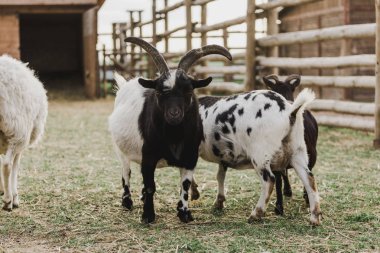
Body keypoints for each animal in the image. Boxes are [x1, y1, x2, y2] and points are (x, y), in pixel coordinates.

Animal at [0, 55, 48, 211]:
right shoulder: (20, 137)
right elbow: (16, 164)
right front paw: (14, 196)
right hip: (18, 129)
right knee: (7, 165)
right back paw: (8, 201)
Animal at [108, 37, 233, 223]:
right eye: (160, 92)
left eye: (188, 91)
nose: (174, 114)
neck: (174, 137)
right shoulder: (149, 157)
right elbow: (150, 186)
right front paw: (148, 216)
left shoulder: (190, 157)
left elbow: (185, 185)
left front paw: (184, 213)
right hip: (120, 149)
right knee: (126, 172)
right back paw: (127, 202)